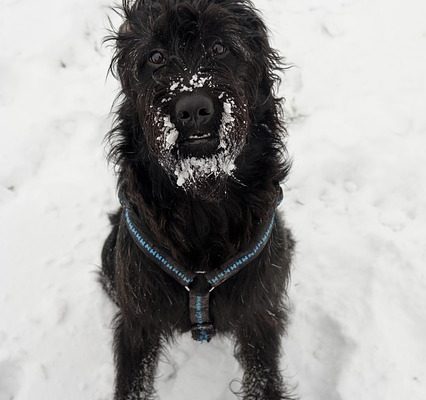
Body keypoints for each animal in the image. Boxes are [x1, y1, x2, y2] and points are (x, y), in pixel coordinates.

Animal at [100, 1, 292, 398]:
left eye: (219, 47)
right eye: (156, 57)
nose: (192, 109)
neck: (202, 199)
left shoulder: (259, 315)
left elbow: (263, 378)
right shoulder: (137, 321)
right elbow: (133, 383)